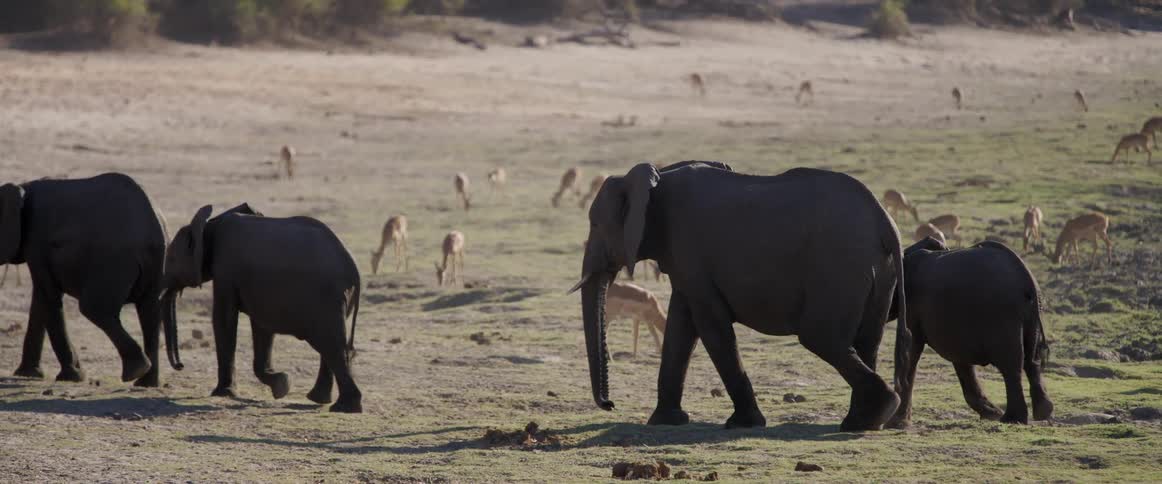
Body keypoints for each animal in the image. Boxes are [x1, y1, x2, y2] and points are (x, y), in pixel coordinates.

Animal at [3, 173, 178, 386]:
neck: (22, 187)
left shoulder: (37, 243)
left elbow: (47, 296)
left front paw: (71, 377)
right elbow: (41, 299)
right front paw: (27, 374)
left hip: (113, 260)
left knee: (94, 309)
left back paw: (135, 371)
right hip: (159, 259)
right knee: (150, 310)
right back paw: (145, 382)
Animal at [162, 204, 363, 412]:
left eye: (172, 259)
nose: (180, 365)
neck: (210, 223)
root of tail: (355, 273)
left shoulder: (226, 268)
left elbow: (224, 319)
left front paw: (223, 393)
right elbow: (262, 326)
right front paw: (282, 386)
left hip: (326, 300)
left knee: (333, 347)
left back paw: (344, 407)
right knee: (331, 346)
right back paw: (320, 400)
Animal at [571, 161, 909, 431]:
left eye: (596, 224)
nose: (610, 404)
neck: (656, 179)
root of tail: (885, 223)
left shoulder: (688, 248)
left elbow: (710, 325)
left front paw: (743, 424)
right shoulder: (684, 260)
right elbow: (682, 326)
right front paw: (665, 421)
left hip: (840, 268)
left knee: (821, 337)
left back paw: (878, 411)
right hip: (877, 271)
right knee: (867, 340)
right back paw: (863, 421)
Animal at [887, 237, 1052, 428]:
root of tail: (1026, 278)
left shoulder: (912, 305)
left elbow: (911, 348)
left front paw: (896, 423)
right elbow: (959, 358)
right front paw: (991, 414)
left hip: (1003, 315)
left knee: (1012, 365)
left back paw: (1011, 419)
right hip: (1033, 313)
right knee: (1032, 361)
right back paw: (1042, 412)